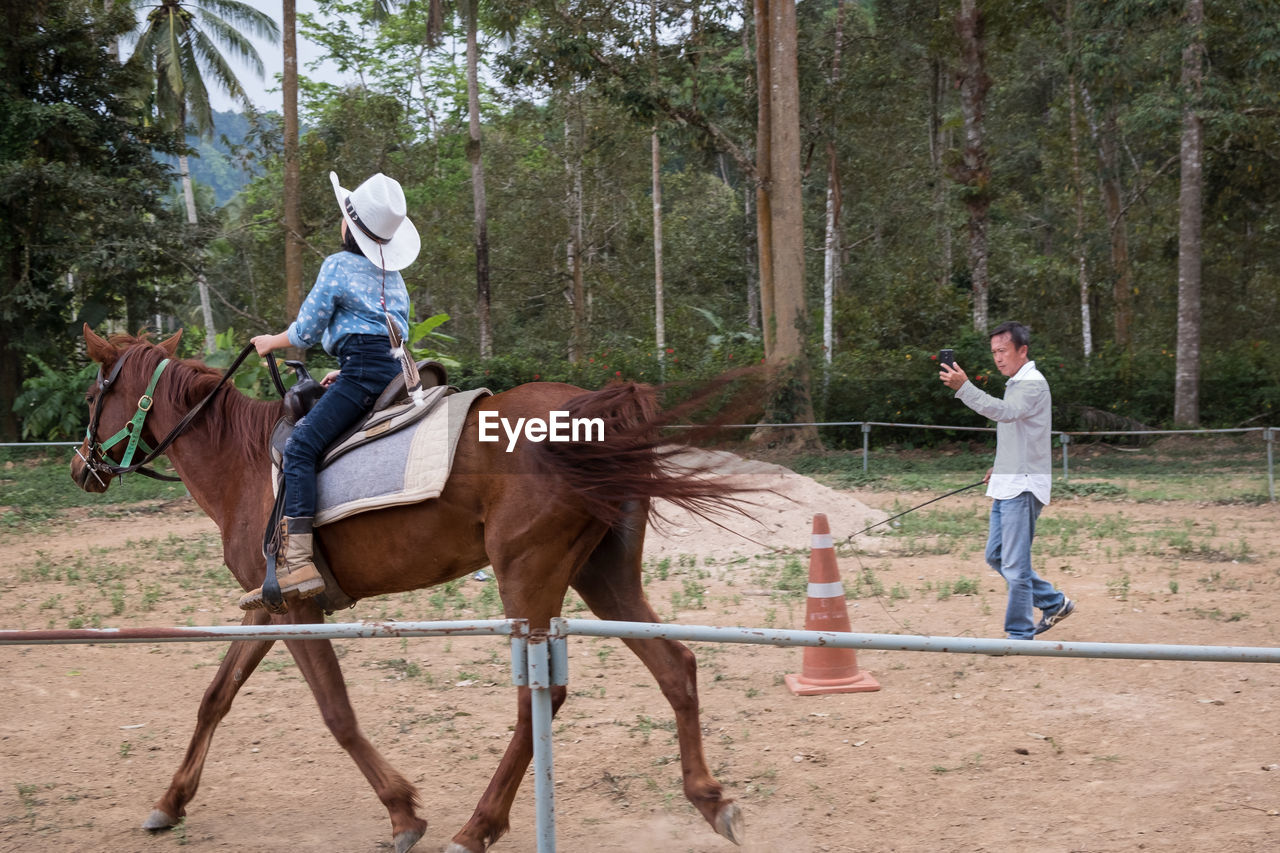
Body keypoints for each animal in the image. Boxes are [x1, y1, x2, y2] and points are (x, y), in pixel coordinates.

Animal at [70, 325, 747, 850]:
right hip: (600, 577)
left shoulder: (297, 608)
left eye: (92, 395)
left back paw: (476, 829)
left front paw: (402, 812)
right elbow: (217, 695)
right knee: (676, 666)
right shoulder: (266, 608)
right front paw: (170, 801)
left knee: (541, 698)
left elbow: (336, 711)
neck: (243, 463)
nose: (82, 466)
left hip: (528, 575)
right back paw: (711, 800)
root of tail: (589, 416)